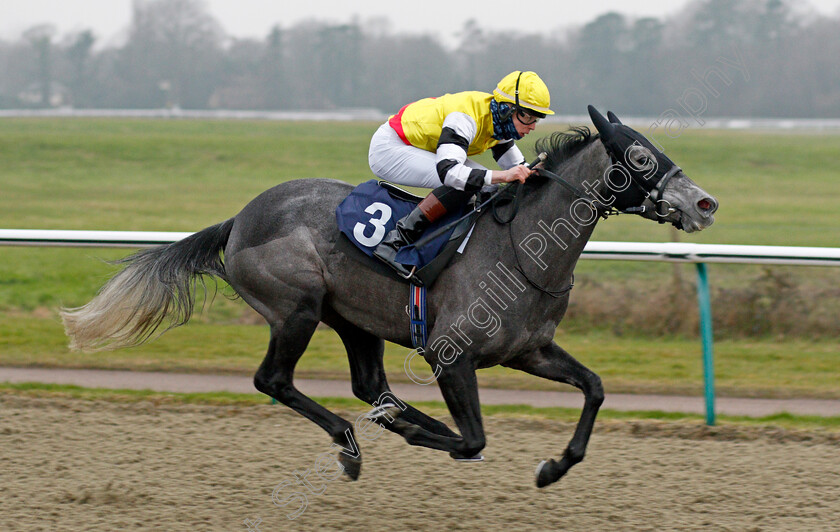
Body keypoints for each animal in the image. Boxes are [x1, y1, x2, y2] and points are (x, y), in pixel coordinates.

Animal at [60, 106, 716, 488]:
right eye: (640, 156)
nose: (705, 202)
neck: (522, 250)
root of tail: (240, 218)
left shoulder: (530, 351)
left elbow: (595, 388)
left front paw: (553, 467)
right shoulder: (451, 355)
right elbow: (473, 439)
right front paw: (435, 440)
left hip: (354, 319)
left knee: (369, 385)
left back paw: (391, 419)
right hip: (297, 309)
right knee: (275, 380)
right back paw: (354, 443)